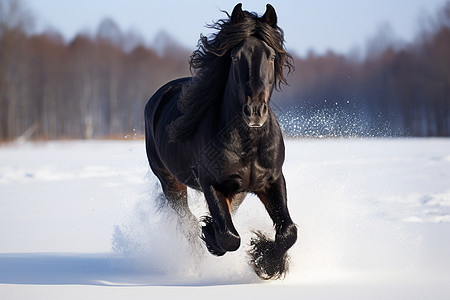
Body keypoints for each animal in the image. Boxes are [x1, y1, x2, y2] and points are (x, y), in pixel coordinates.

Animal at [144, 2, 298, 278]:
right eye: (236, 57)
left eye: (271, 56)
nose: (254, 112)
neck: (249, 143)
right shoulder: (211, 183)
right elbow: (229, 236)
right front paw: (212, 236)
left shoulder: (271, 180)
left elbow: (289, 232)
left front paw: (266, 261)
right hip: (170, 182)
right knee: (188, 224)